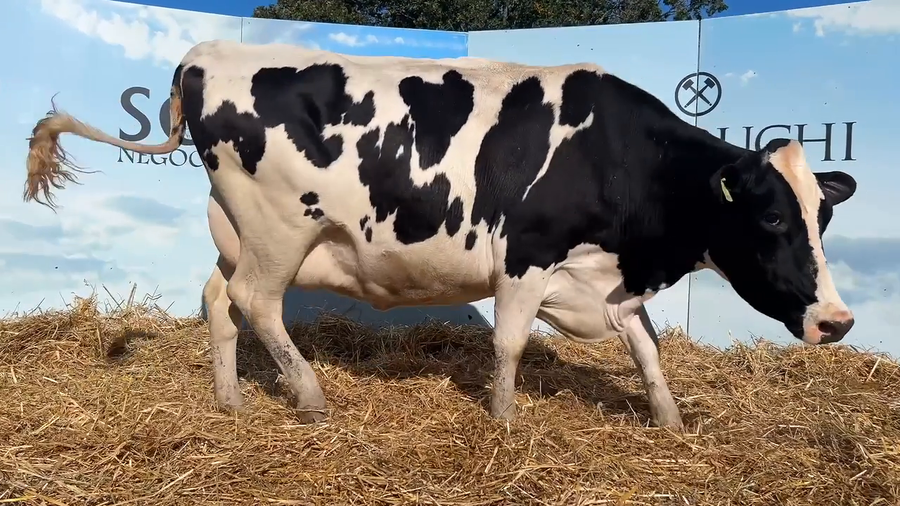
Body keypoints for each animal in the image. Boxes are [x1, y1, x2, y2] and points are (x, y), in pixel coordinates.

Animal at [22, 39, 857, 431]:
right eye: (773, 217)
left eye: (824, 216)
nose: (837, 321)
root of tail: (208, 55)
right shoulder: (526, 255)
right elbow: (510, 344)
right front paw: (505, 419)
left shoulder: (607, 279)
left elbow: (648, 351)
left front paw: (670, 421)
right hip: (280, 228)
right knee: (258, 303)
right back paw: (310, 396)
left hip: (236, 230)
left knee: (217, 298)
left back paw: (231, 401)